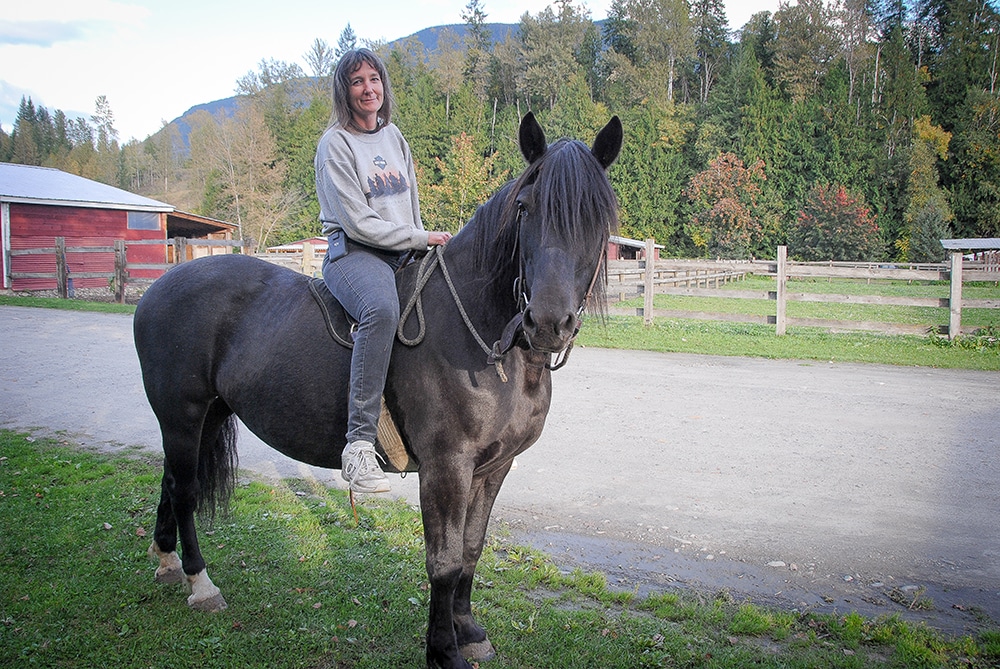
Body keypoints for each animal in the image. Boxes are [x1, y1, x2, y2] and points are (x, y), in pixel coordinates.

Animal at [133, 112, 622, 669]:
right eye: (524, 208)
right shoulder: (446, 467)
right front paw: (443, 650)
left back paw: (167, 561)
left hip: (210, 414)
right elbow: (443, 560)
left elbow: (471, 548)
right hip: (182, 414)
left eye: (599, 219)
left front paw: (468, 630)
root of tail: (157, 287)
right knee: (185, 489)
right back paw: (200, 583)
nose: (547, 323)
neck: (487, 340)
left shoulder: (494, 467)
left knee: (172, 482)